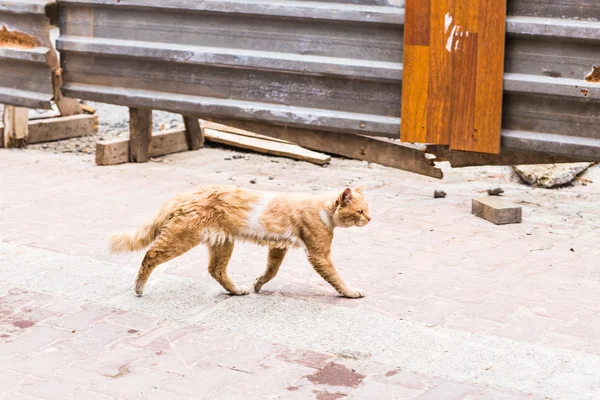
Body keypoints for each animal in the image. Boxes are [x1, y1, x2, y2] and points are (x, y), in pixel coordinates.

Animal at [109, 184, 370, 296]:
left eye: (367, 209)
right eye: (359, 211)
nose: (370, 218)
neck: (322, 208)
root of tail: (183, 195)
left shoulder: (277, 246)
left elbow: (271, 270)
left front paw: (258, 284)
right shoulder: (319, 254)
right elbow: (336, 277)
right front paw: (351, 292)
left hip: (222, 242)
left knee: (216, 270)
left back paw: (237, 291)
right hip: (181, 239)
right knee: (150, 255)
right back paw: (139, 288)